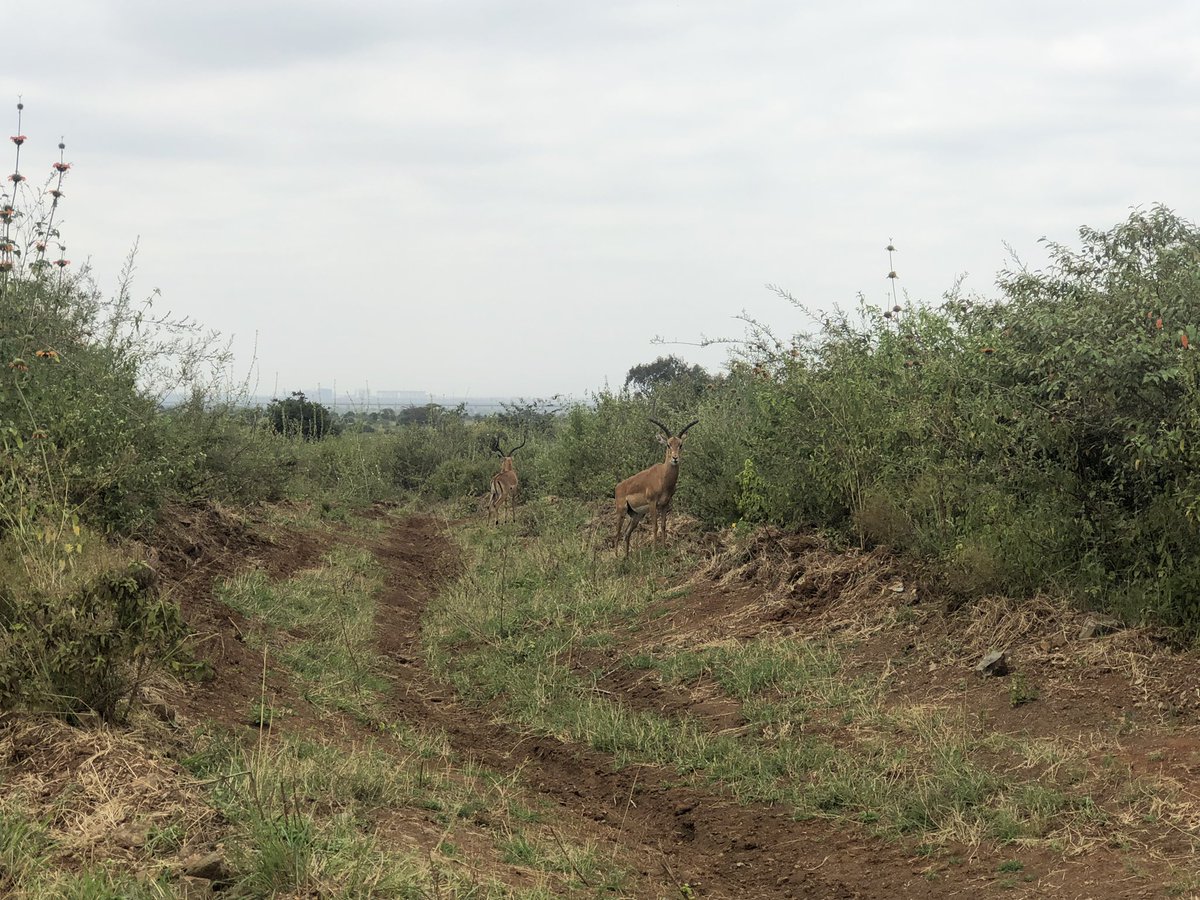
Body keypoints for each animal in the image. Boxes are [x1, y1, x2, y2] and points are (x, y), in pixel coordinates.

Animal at [613, 418, 699, 555]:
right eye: (668, 444)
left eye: (680, 444)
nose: (675, 458)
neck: (662, 477)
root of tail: (618, 487)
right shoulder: (653, 503)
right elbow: (655, 526)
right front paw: (654, 551)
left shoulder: (665, 504)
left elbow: (663, 525)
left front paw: (663, 549)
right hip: (621, 511)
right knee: (617, 534)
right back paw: (617, 557)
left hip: (637, 515)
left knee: (626, 533)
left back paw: (627, 557)